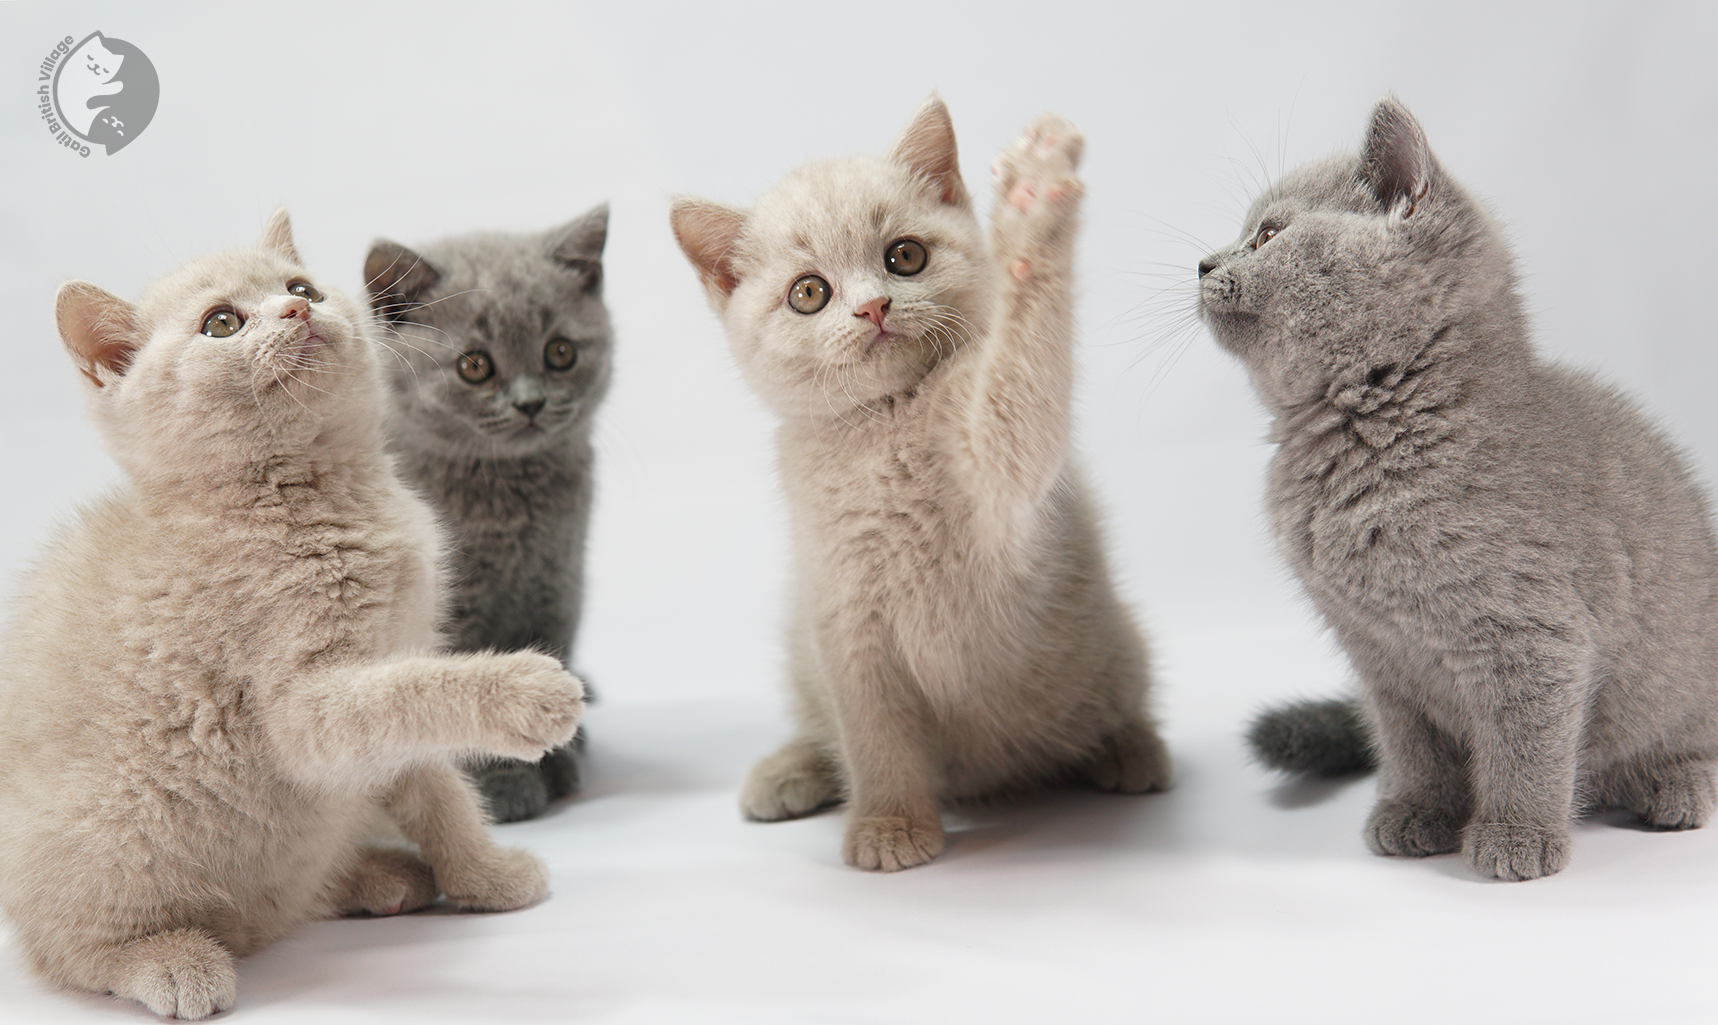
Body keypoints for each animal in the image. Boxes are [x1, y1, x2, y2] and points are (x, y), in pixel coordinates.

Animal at [0, 212, 584, 1016]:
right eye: (221, 322)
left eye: (301, 287)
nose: (297, 312)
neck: (316, 491)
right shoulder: (306, 706)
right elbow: (418, 693)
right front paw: (528, 690)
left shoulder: (399, 656)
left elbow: (439, 787)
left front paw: (486, 875)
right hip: (116, 831)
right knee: (65, 948)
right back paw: (171, 959)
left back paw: (377, 875)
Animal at [362, 207, 611, 824]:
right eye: (474, 366)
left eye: (560, 353)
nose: (530, 403)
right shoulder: (453, 616)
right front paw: (505, 789)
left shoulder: (557, 589)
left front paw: (556, 761)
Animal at [670, 97, 1168, 872]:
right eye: (809, 293)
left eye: (904, 256)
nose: (873, 308)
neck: (887, 422)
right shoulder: (844, 619)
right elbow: (871, 732)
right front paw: (890, 824)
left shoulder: (1004, 458)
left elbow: (1024, 363)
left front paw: (1033, 197)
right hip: (801, 651)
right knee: (826, 728)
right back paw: (790, 770)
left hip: (1115, 646)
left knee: (1124, 699)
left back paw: (1130, 750)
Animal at [1195, 97, 1718, 879]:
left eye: (1268, 234)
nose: (1204, 261)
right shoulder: (1379, 657)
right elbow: (1411, 746)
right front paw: (1416, 813)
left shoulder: (1535, 637)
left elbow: (1524, 745)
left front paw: (1516, 836)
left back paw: (1678, 781)